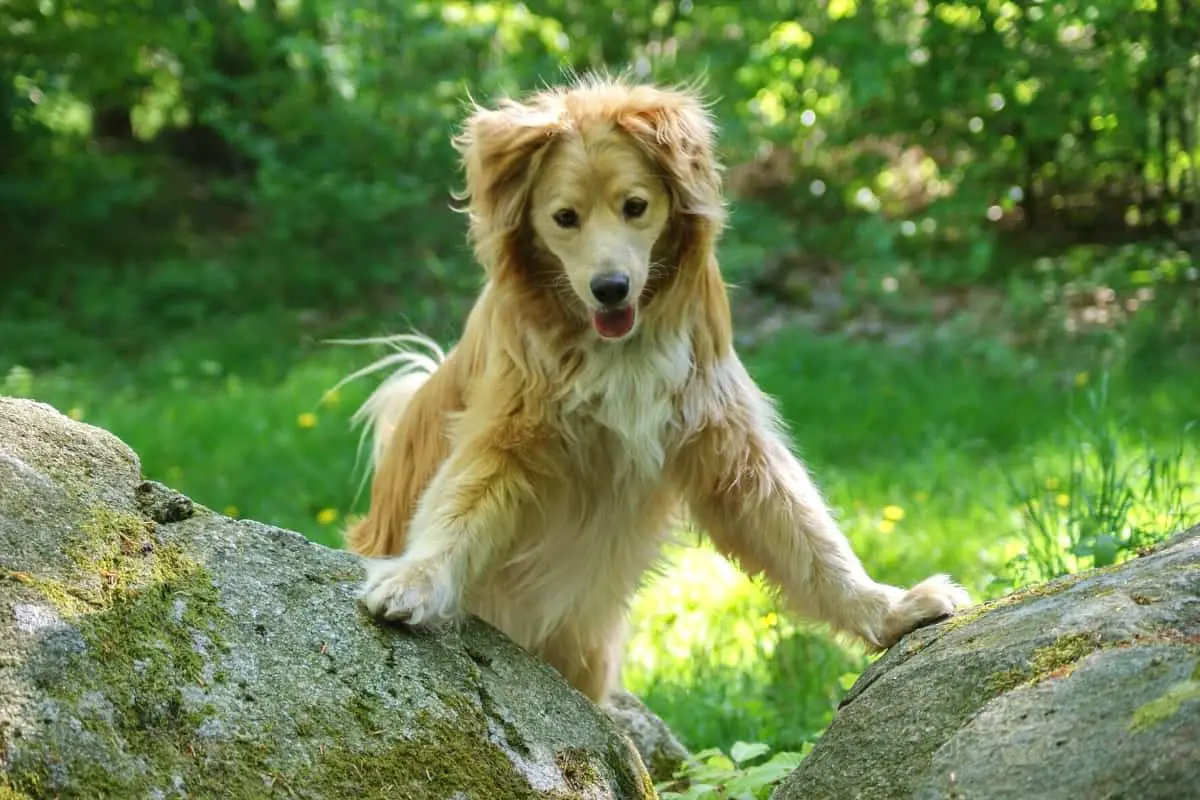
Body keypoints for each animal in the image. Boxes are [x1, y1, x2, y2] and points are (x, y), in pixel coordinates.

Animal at [333, 73, 969, 700]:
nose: (610, 288)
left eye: (635, 206)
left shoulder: (724, 439)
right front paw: (415, 578)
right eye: (565, 218)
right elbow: (459, 507)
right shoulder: (509, 427)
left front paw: (887, 607)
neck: (617, 350)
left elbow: (805, 535)